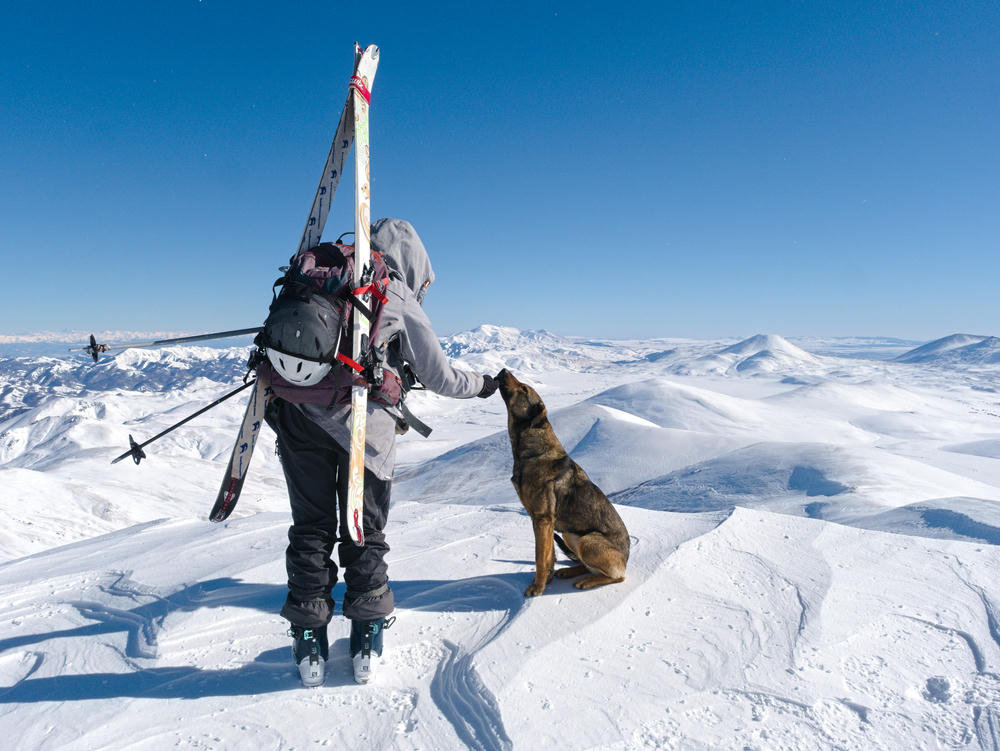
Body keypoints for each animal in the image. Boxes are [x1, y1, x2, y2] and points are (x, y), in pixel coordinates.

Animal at [496, 370, 628, 600]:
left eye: (524, 389)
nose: (503, 370)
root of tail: (627, 560)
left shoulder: (542, 519)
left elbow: (540, 557)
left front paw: (537, 588)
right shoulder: (544, 522)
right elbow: (549, 556)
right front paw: (546, 581)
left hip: (588, 541)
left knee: (617, 576)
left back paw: (588, 581)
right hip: (570, 534)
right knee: (586, 564)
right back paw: (571, 572)